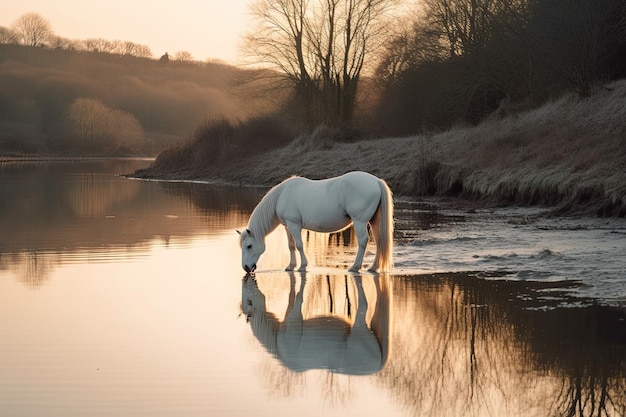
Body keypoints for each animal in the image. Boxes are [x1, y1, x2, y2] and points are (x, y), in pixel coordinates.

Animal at [238, 170, 390, 272]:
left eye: (249, 246)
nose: (246, 268)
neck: (281, 195)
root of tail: (376, 181)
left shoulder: (294, 225)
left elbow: (299, 245)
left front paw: (302, 266)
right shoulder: (288, 226)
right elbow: (291, 245)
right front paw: (291, 266)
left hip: (359, 222)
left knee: (363, 241)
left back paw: (354, 267)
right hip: (373, 222)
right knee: (379, 241)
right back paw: (373, 267)